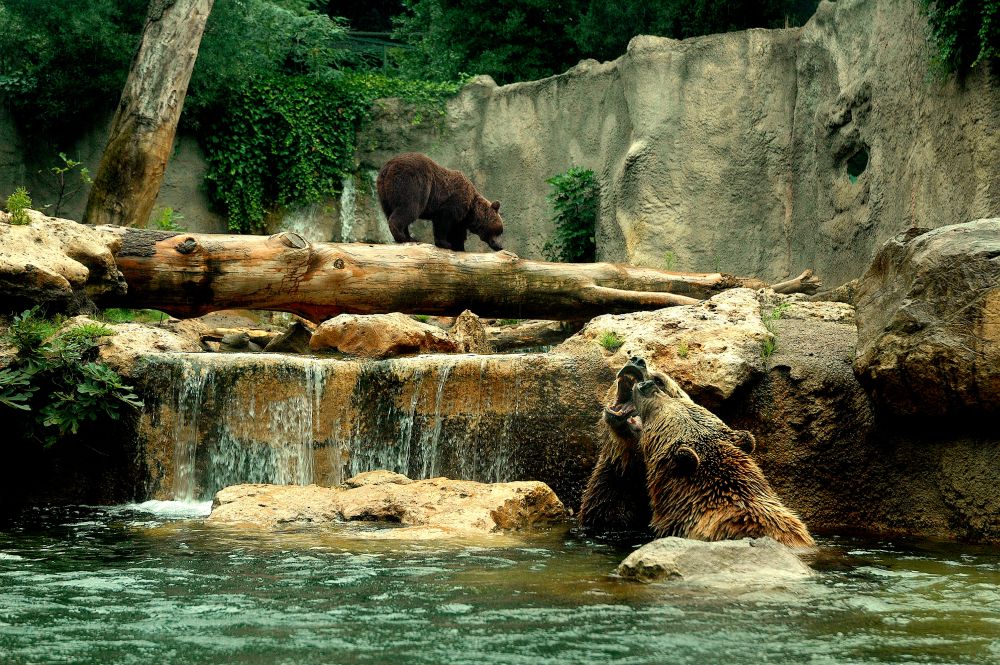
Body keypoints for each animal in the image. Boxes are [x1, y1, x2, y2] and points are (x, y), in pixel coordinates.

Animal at [376, 153, 504, 252]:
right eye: (498, 230)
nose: (500, 246)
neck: (471, 210)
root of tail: (388, 167)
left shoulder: (461, 218)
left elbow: (457, 232)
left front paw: (459, 247)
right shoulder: (453, 202)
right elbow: (443, 222)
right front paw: (445, 243)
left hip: (384, 194)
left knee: (391, 211)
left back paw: (409, 237)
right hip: (413, 184)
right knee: (409, 209)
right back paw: (402, 236)